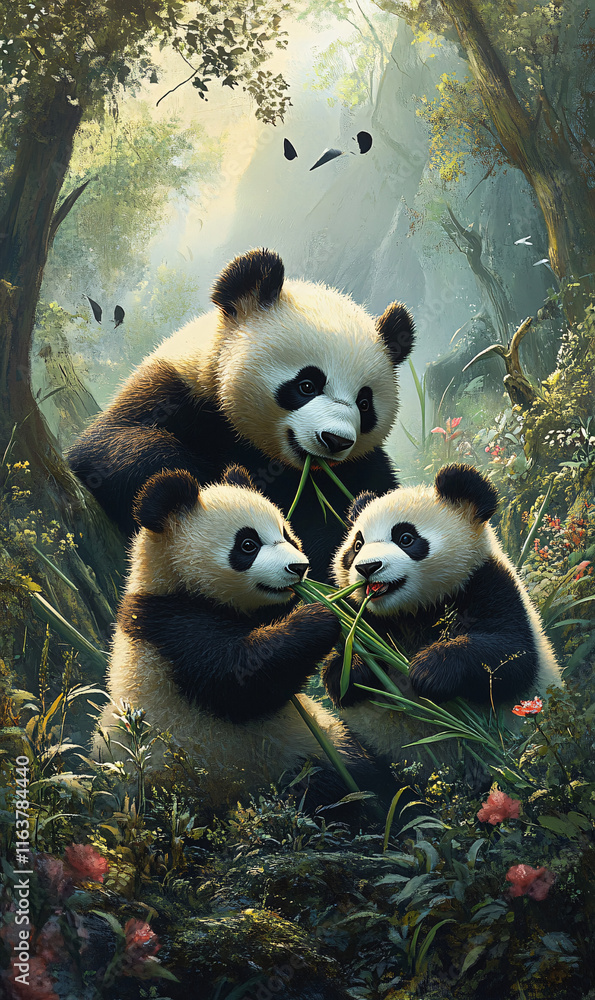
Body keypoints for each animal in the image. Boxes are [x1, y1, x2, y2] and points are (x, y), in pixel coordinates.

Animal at [68, 248, 415, 581]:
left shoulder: (360, 467)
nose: (335, 440)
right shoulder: (176, 392)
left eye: (364, 403)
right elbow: (112, 446)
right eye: (307, 385)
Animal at [96, 462, 380, 812]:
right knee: (325, 787)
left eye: (286, 534)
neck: (172, 578)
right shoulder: (168, 627)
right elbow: (238, 680)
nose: (299, 567)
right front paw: (320, 617)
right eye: (248, 544)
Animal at [322, 463, 562, 772]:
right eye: (357, 545)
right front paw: (356, 667)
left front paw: (428, 670)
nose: (367, 567)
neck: (413, 610)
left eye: (406, 538)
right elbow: (338, 675)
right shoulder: (365, 617)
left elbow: (512, 658)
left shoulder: (488, 585)